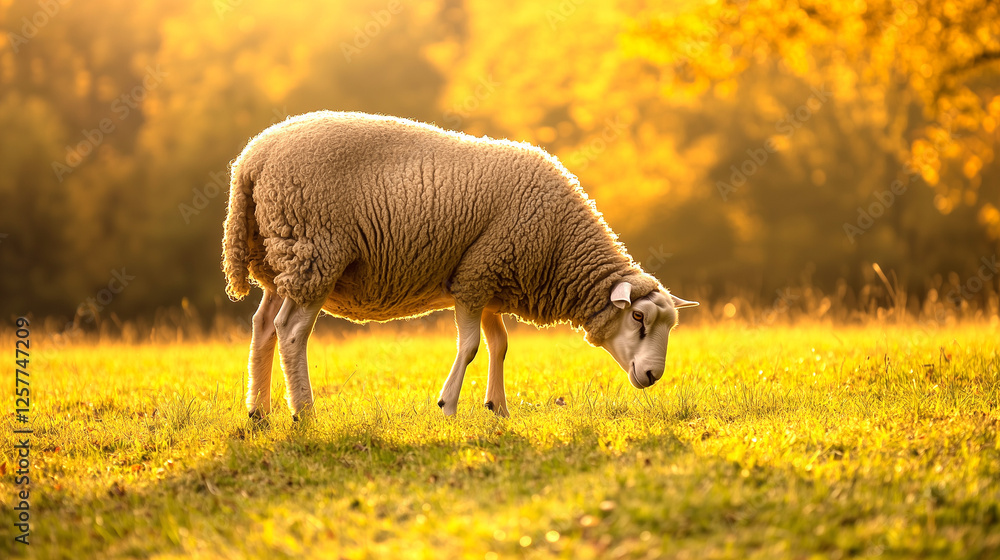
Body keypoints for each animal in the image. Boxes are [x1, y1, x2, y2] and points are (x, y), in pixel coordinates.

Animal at [222, 111, 698, 419]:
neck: (560, 247)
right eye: (638, 317)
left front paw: (498, 408)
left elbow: (499, 345)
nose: (654, 375)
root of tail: (251, 158)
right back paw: (303, 411)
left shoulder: (488, 277)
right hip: (314, 252)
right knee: (291, 331)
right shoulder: (475, 276)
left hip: (282, 257)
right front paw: (448, 406)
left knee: (263, 326)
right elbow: (469, 347)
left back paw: (258, 413)